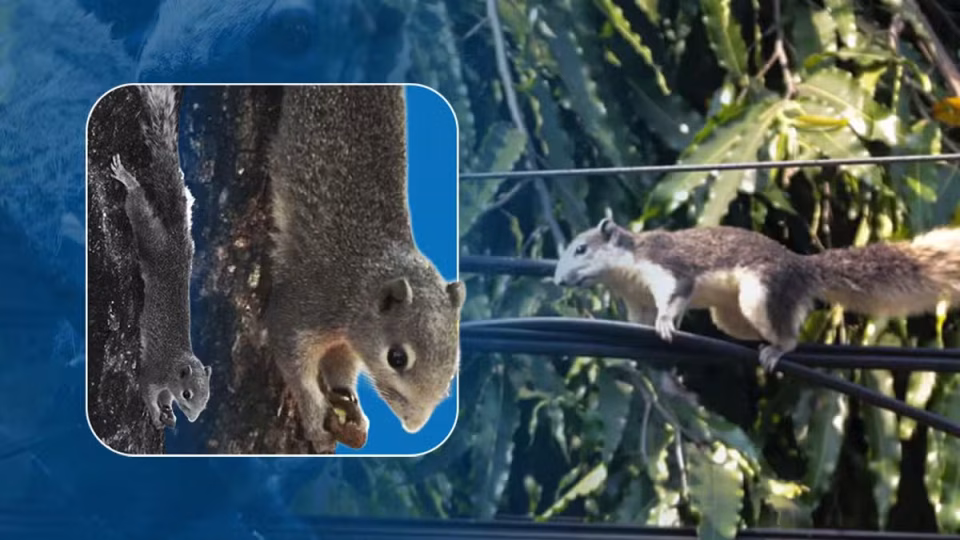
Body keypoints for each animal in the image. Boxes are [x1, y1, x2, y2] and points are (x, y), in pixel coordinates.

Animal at [108, 85, 211, 430]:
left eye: (207, 401)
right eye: (188, 394)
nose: (192, 419)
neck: (176, 364)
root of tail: (179, 243)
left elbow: (163, 397)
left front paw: (168, 412)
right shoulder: (154, 370)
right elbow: (146, 388)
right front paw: (156, 413)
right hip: (153, 239)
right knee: (139, 207)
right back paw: (127, 180)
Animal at [264, 86, 465, 454]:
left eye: (454, 364)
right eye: (396, 358)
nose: (414, 426)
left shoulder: (344, 340)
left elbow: (340, 366)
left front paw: (349, 403)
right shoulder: (310, 300)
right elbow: (291, 357)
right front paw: (315, 420)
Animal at [554, 217, 960, 372]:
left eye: (581, 249)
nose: (558, 280)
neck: (626, 270)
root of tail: (800, 267)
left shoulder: (669, 267)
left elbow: (676, 294)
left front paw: (667, 323)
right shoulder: (636, 299)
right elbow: (638, 322)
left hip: (763, 290)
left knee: (789, 335)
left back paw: (778, 349)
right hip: (730, 316)